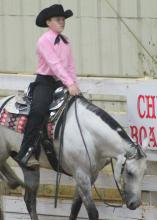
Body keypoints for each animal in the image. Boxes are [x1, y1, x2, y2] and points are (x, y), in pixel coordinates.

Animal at [0, 96, 147, 220]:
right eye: (129, 172)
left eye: (144, 173)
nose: (135, 203)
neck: (89, 135)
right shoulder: (81, 175)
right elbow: (92, 212)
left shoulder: (90, 175)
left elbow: (75, 208)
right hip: (4, 152)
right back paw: (13, 181)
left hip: (30, 167)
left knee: (30, 199)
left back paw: (14, 181)